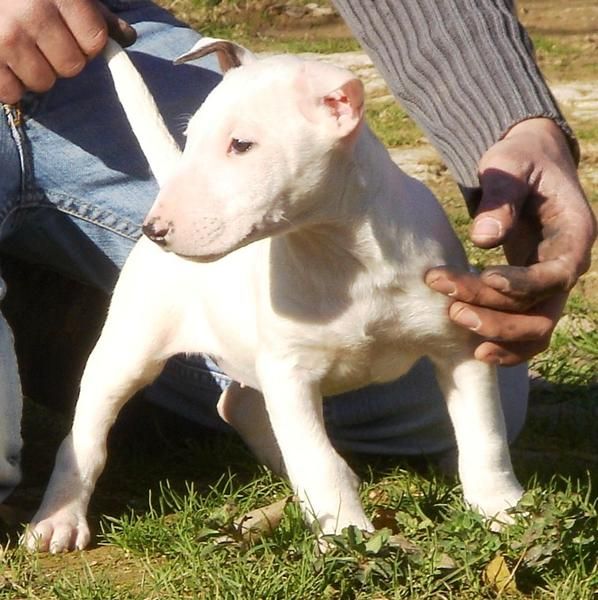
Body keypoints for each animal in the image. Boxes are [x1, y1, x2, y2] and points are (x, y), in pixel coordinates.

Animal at [24, 38, 524, 552]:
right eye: (191, 138)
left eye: (241, 145)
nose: (155, 228)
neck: (342, 255)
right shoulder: (290, 373)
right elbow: (320, 462)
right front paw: (348, 538)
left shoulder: (459, 347)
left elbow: (484, 436)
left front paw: (504, 511)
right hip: (127, 351)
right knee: (85, 437)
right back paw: (59, 520)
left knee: (237, 404)